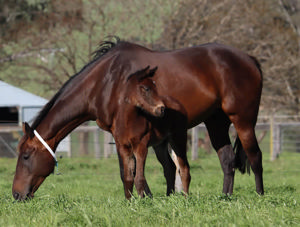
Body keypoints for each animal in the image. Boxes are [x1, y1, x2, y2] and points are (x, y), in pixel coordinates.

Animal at [12, 37, 264, 200]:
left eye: (26, 156)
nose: (16, 194)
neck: (106, 81)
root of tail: (250, 58)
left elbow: (136, 170)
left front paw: (144, 197)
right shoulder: (120, 136)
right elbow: (132, 171)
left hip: (243, 120)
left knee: (254, 156)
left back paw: (260, 195)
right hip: (216, 122)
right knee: (227, 160)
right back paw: (225, 197)